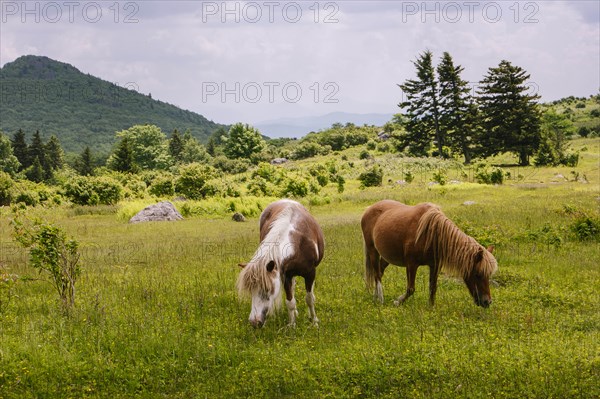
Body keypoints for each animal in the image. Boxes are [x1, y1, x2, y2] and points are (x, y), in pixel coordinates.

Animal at [237, 200, 326, 328]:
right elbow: (290, 302)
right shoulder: (286, 276)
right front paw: (292, 325)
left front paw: (314, 322)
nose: (254, 322)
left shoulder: (310, 273)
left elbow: (309, 299)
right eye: (251, 291)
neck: (298, 244)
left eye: (267, 289)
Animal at [360, 202, 496, 308]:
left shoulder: (435, 265)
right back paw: (380, 299)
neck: (432, 233)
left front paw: (431, 307)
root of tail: (369, 209)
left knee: (379, 272)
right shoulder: (411, 264)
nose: (487, 302)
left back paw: (375, 297)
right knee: (377, 275)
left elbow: (433, 287)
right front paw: (397, 302)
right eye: (478, 274)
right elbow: (411, 289)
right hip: (373, 251)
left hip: (386, 257)